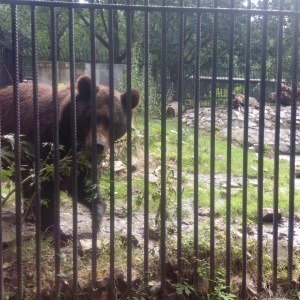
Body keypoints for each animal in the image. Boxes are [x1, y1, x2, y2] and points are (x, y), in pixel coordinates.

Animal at [0, 75, 141, 241]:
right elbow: (48, 189)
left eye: (113, 123)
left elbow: (83, 185)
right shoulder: (47, 145)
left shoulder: (81, 160)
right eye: (90, 117)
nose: (98, 145)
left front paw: (96, 217)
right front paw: (57, 234)